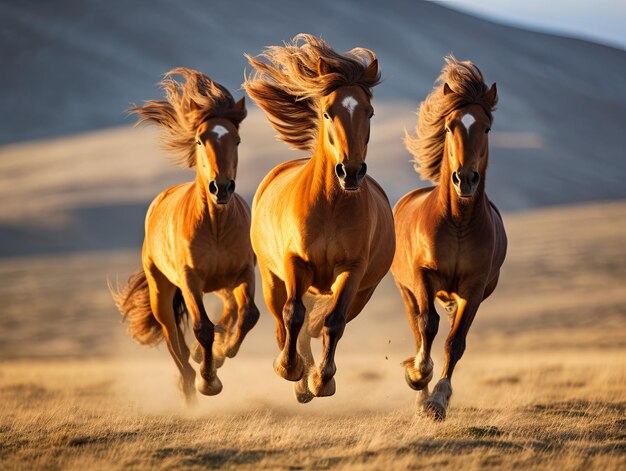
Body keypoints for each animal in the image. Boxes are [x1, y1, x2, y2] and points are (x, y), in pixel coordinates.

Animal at [110, 67, 258, 406]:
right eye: (201, 139)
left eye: (237, 139)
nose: (221, 187)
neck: (216, 224)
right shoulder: (190, 280)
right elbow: (202, 327)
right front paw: (209, 381)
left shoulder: (244, 272)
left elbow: (248, 315)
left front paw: (222, 353)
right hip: (161, 293)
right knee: (172, 337)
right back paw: (190, 385)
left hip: (223, 285)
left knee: (228, 313)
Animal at [243, 34, 392, 402]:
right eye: (328, 111)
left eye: (369, 112)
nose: (350, 172)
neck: (331, 207)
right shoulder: (294, 263)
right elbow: (292, 315)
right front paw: (290, 369)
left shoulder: (351, 271)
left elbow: (333, 323)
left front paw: (323, 379)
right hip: (272, 279)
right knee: (285, 322)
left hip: (361, 292)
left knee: (320, 324)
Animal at [392, 55, 504, 420]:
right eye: (449, 126)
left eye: (486, 128)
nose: (465, 179)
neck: (458, 223)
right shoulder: (423, 277)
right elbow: (428, 327)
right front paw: (418, 376)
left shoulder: (474, 288)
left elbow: (455, 342)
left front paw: (439, 400)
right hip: (407, 291)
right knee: (417, 328)